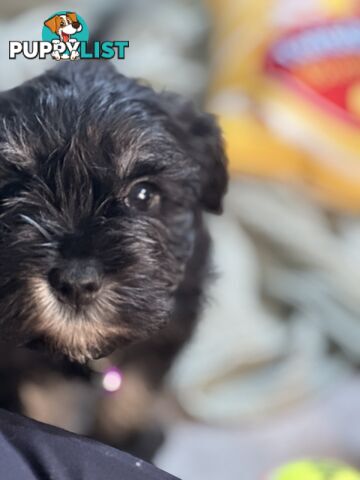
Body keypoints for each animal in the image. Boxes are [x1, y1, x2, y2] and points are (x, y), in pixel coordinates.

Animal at [0, 62, 226, 456]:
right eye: (12, 190)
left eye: (144, 194)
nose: (76, 282)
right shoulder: (19, 359)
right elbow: (43, 408)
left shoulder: (167, 334)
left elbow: (132, 396)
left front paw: (128, 443)